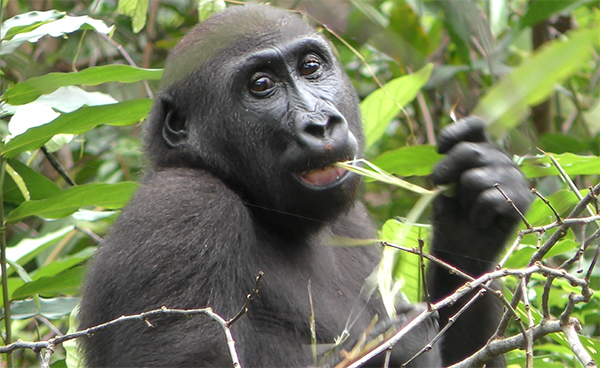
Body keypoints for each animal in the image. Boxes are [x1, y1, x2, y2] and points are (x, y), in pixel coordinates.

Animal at [78, 3, 528, 368]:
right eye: (261, 85)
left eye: (311, 67)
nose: (321, 123)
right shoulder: (182, 209)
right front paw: (399, 345)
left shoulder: (354, 221)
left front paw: (470, 221)